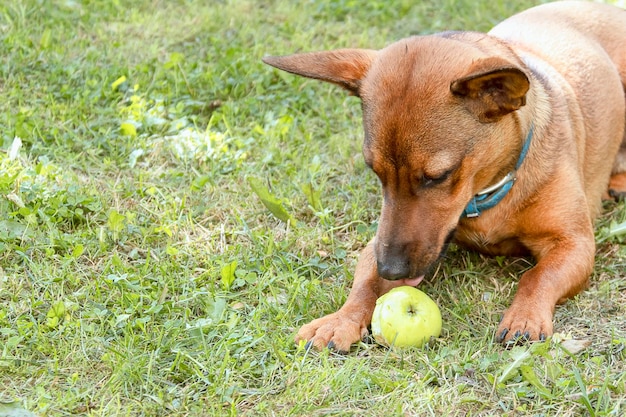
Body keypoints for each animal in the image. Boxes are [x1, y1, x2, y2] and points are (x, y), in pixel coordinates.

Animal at [262, 1, 624, 350]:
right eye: (374, 171)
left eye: (437, 176)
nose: (390, 269)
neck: (489, 191)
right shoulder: (377, 246)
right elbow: (364, 280)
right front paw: (340, 320)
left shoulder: (575, 244)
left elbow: (537, 277)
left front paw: (525, 316)